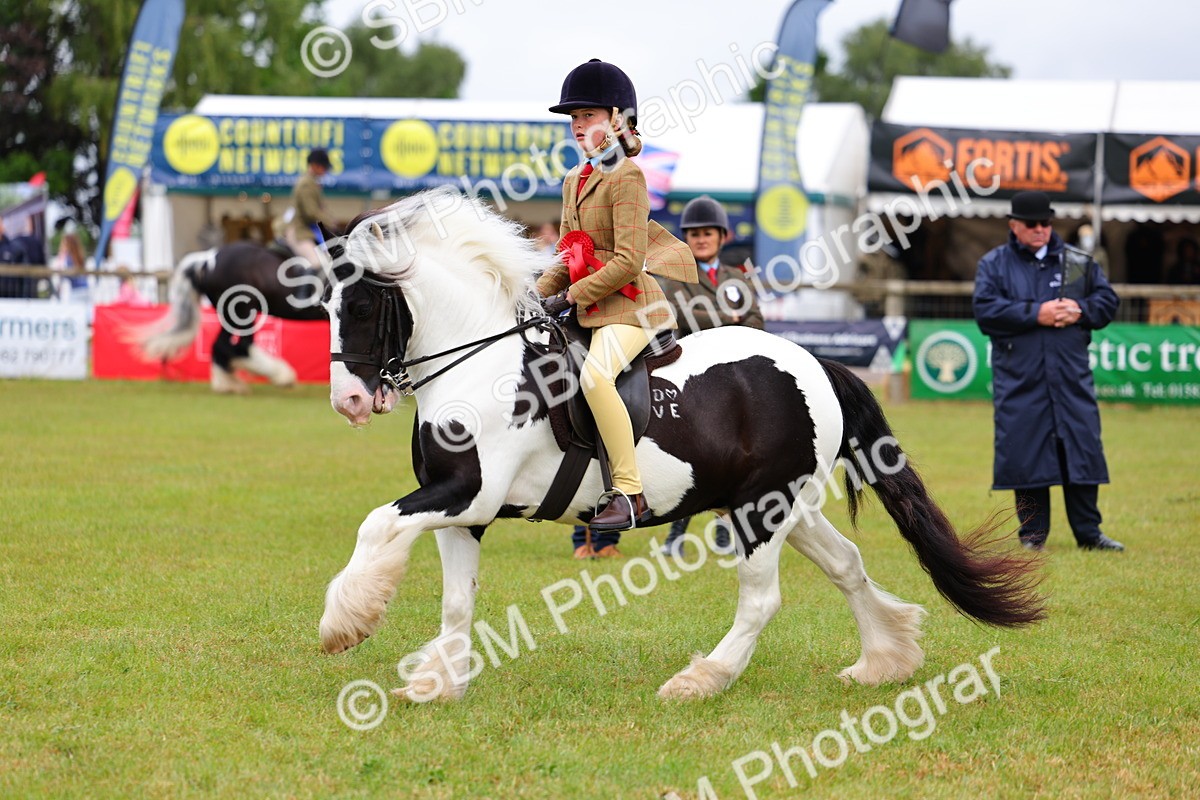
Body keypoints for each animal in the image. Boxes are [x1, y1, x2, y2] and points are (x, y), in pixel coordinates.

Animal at [138, 240, 328, 393]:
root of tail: (208, 260)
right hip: (242, 310)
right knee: (238, 346)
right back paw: (278, 377)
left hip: (232, 314)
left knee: (222, 345)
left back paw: (228, 384)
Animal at [317, 188, 1044, 701]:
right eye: (323, 305)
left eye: (361, 307)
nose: (347, 402)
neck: (481, 365)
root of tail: (815, 364)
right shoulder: (462, 510)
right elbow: (455, 596)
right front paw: (436, 681)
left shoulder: (467, 492)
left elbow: (375, 524)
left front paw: (344, 623)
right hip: (785, 503)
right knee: (846, 564)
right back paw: (884, 660)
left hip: (761, 511)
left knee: (761, 598)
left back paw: (701, 681)